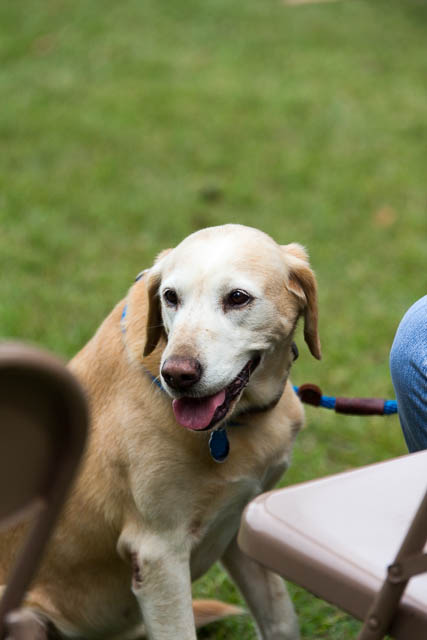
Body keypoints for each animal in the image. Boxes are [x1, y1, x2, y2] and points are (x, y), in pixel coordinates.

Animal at [0, 224, 320, 640]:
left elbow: (281, 620)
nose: (178, 375)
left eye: (237, 298)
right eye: (171, 297)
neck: (237, 423)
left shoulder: (244, 522)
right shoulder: (159, 554)